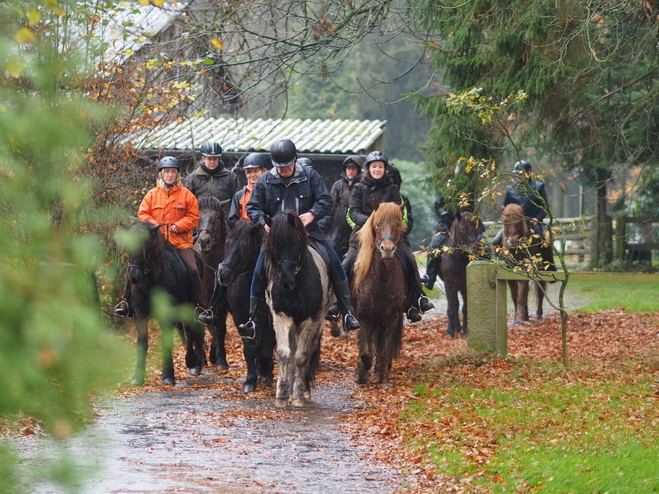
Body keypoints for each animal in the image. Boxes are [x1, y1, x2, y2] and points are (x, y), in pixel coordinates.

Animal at [122, 220, 205, 386]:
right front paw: (138, 377)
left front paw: (168, 376)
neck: (152, 282)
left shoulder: (167, 316)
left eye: (146, 246)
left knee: (192, 330)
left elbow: (167, 342)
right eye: (129, 246)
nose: (134, 276)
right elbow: (142, 344)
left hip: (190, 307)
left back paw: (194, 363)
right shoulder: (140, 315)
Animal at [219, 222, 276, 392]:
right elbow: (250, 349)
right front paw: (251, 380)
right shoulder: (241, 318)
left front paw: (267, 375)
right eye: (227, 243)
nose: (223, 275)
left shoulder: (270, 321)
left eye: (244, 247)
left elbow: (266, 348)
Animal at [264, 210, 332, 408]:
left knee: (308, 350)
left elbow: (302, 356)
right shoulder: (281, 316)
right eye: (273, 247)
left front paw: (298, 396)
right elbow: (284, 354)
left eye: (294, 244)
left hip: (318, 320)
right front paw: (281, 395)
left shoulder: (311, 319)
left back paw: (303, 390)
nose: (285, 282)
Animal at [350, 203, 408, 388]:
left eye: (398, 224)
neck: (381, 281)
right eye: (377, 225)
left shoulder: (392, 318)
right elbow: (366, 351)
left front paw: (382, 378)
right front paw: (362, 373)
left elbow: (384, 349)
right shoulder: (364, 318)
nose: (387, 249)